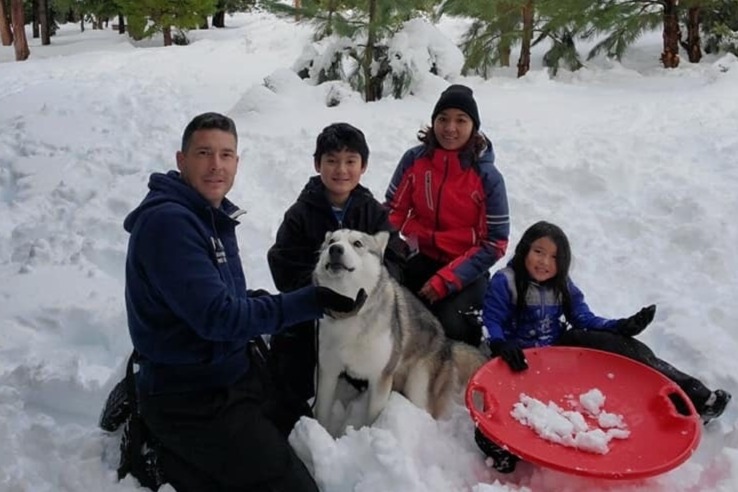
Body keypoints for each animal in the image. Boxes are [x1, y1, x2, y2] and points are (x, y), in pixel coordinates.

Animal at [312, 229, 487, 431]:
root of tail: (448, 343)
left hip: (418, 386)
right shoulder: (328, 370)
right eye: (331, 241)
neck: (350, 317)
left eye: (357, 244)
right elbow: (322, 411)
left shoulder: (381, 376)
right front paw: (322, 431)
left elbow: (373, 416)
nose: (335, 249)